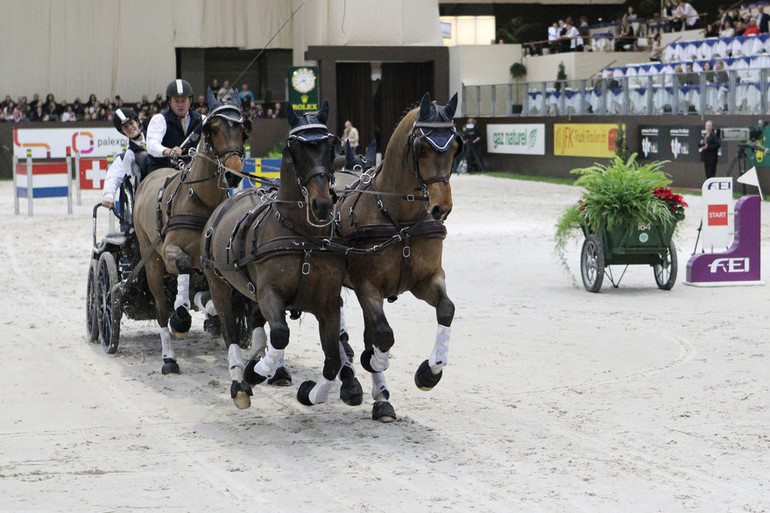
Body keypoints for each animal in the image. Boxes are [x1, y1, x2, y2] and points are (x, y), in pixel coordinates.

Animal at [132, 89, 249, 372]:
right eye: (214, 129)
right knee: (161, 309)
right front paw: (181, 316)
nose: (233, 174)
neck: (199, 201)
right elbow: (183, 270)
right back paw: (168, 357)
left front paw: (211, 313)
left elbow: (212, 294)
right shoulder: (171, 250)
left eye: (242, 129)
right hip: (151, 259)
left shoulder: (211, 260)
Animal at [201, 102, 364, 410]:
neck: (301, 236)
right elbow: (280, 335)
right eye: (294, 149)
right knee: (230, 331)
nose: (322, 203)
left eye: (330, 146)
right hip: (218, 285)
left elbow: (333, 358)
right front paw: (255, 372)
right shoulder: (269, 293)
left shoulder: (327, 303)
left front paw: (314, 392)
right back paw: (239, 381)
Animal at [332, 91, 460, 420]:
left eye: (456, 146)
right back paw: (351, 381)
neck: (399, 219)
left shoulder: (426, 279)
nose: (442, 207)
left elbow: (446, 309)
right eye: (423, 147)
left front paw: (430, 372)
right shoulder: (367, 287)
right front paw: (375, 363)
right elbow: (383, 335)